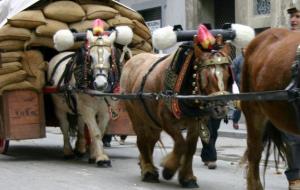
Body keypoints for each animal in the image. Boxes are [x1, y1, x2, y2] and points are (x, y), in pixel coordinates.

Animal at [47, 23, 132, 166]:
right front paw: (101, 158)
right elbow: (95, 132)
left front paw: (94, 155)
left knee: (81, 124)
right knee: (65, 126)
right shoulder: (88, 109)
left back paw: (80, 148)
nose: (100, 84)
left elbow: (99, 132)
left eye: (110, 57)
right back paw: (68, 151)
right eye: (90, 57)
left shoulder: (105, 111)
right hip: (60, 107)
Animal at [120, 24, 254, 187]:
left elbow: (190, 148)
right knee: (141, 140)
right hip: (136, 116)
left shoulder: (195, 122)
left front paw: (187, 177)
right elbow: (181, 144)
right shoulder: (166, 119)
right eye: (206, 76)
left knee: (150, 140)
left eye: (228, 74)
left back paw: (145, 165)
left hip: (151, 120)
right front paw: (169, 169)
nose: (221, 109)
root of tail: (132, 60)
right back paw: (148, 170)